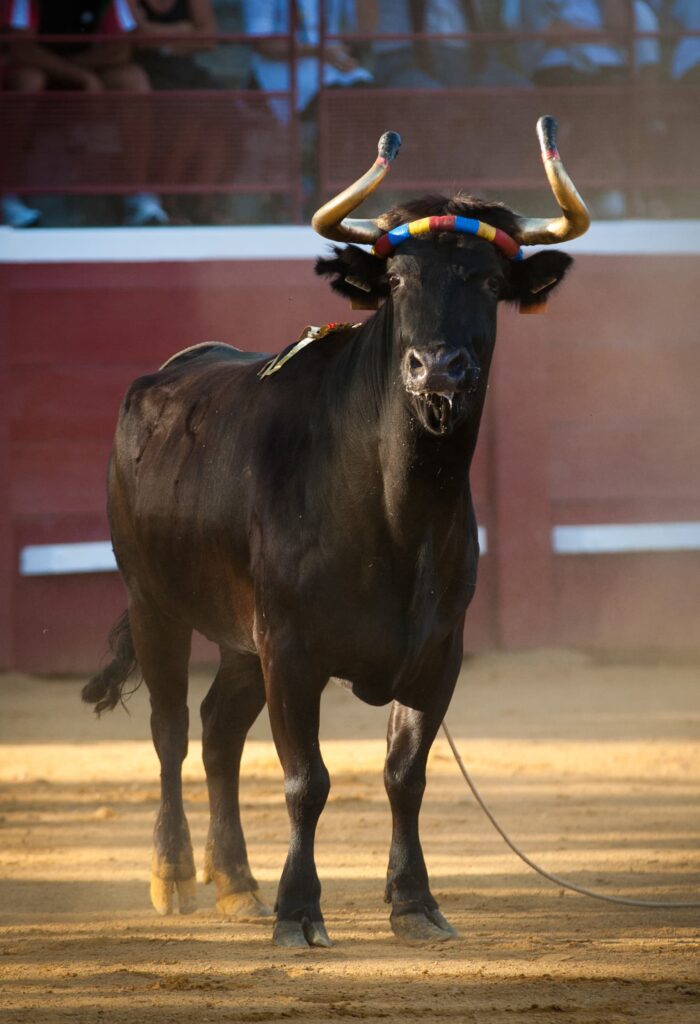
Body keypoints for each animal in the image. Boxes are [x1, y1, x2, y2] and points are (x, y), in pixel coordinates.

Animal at [83, 195, 573, 946]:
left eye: (492, 283)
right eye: (395, 282)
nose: (436, 368)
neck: (398, 512)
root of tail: (166, 373)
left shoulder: (439, 652)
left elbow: (405, 773)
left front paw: (414, 902)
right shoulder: (292, 650)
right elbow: (306, 780)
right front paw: (299, 911)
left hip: (241, 637)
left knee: (219, 731)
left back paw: (237, 882)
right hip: (153, 604)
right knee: (171, 731)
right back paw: (174, 876)